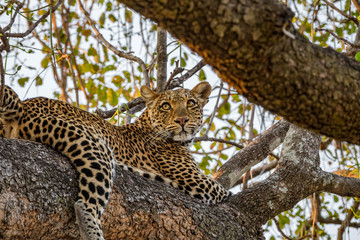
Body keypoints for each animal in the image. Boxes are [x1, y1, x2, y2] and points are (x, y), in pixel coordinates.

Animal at [0, 81, 231, 239]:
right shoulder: (198, 182)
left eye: (191, 103)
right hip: (92, 145)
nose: (182, 120)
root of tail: (24, 105)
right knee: (86, 204)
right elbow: (223, 192)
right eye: (166, 106)